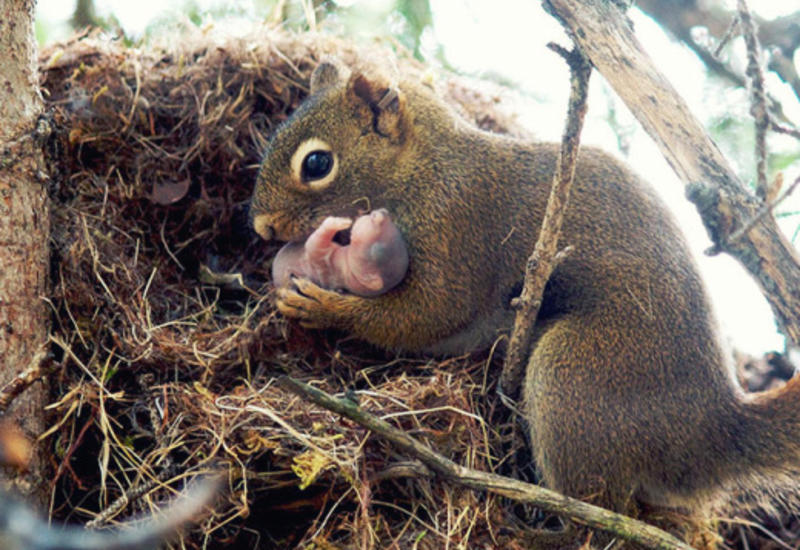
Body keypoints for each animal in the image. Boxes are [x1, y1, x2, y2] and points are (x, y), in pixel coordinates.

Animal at [250, 59, 800, 548]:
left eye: (317, 164)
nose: (262, 227)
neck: (424, 168)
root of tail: (714, 429)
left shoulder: (457, 225)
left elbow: (428, 314)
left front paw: (321, 305)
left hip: (575, 377)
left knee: (600, 519)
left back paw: (533, 531)